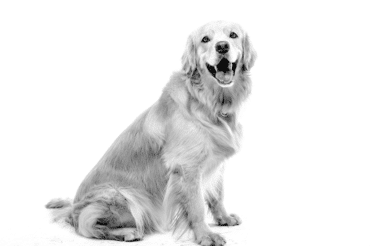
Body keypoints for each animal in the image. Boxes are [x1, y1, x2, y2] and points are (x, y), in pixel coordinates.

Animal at [46, 21, 256, 246]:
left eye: (233, 35)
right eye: (205, 39)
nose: (222, 46)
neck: (209, 102)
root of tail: (72, 209)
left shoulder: (215, 162)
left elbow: (217, 195)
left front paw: (224, 218)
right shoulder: (187, 167)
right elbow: (197, 205)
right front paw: (206, 235)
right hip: (124, 197)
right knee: (88, 225)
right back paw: (128, 233)